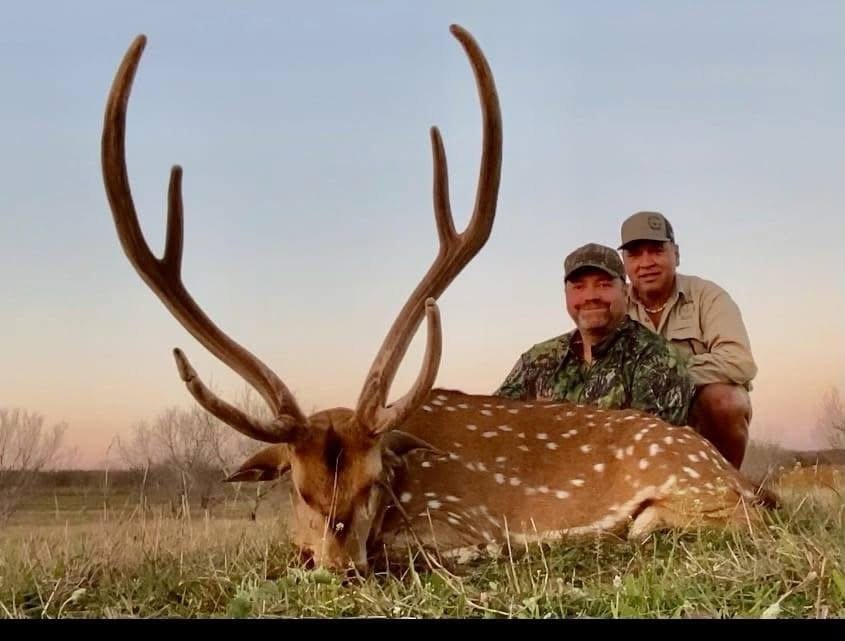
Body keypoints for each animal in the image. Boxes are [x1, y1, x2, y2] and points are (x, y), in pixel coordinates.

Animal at [101, 24, 776, 575]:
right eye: (299, 487)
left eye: (375, 482)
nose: (342, 566)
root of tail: (734, 477)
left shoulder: (452, 513)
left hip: (694, 493)